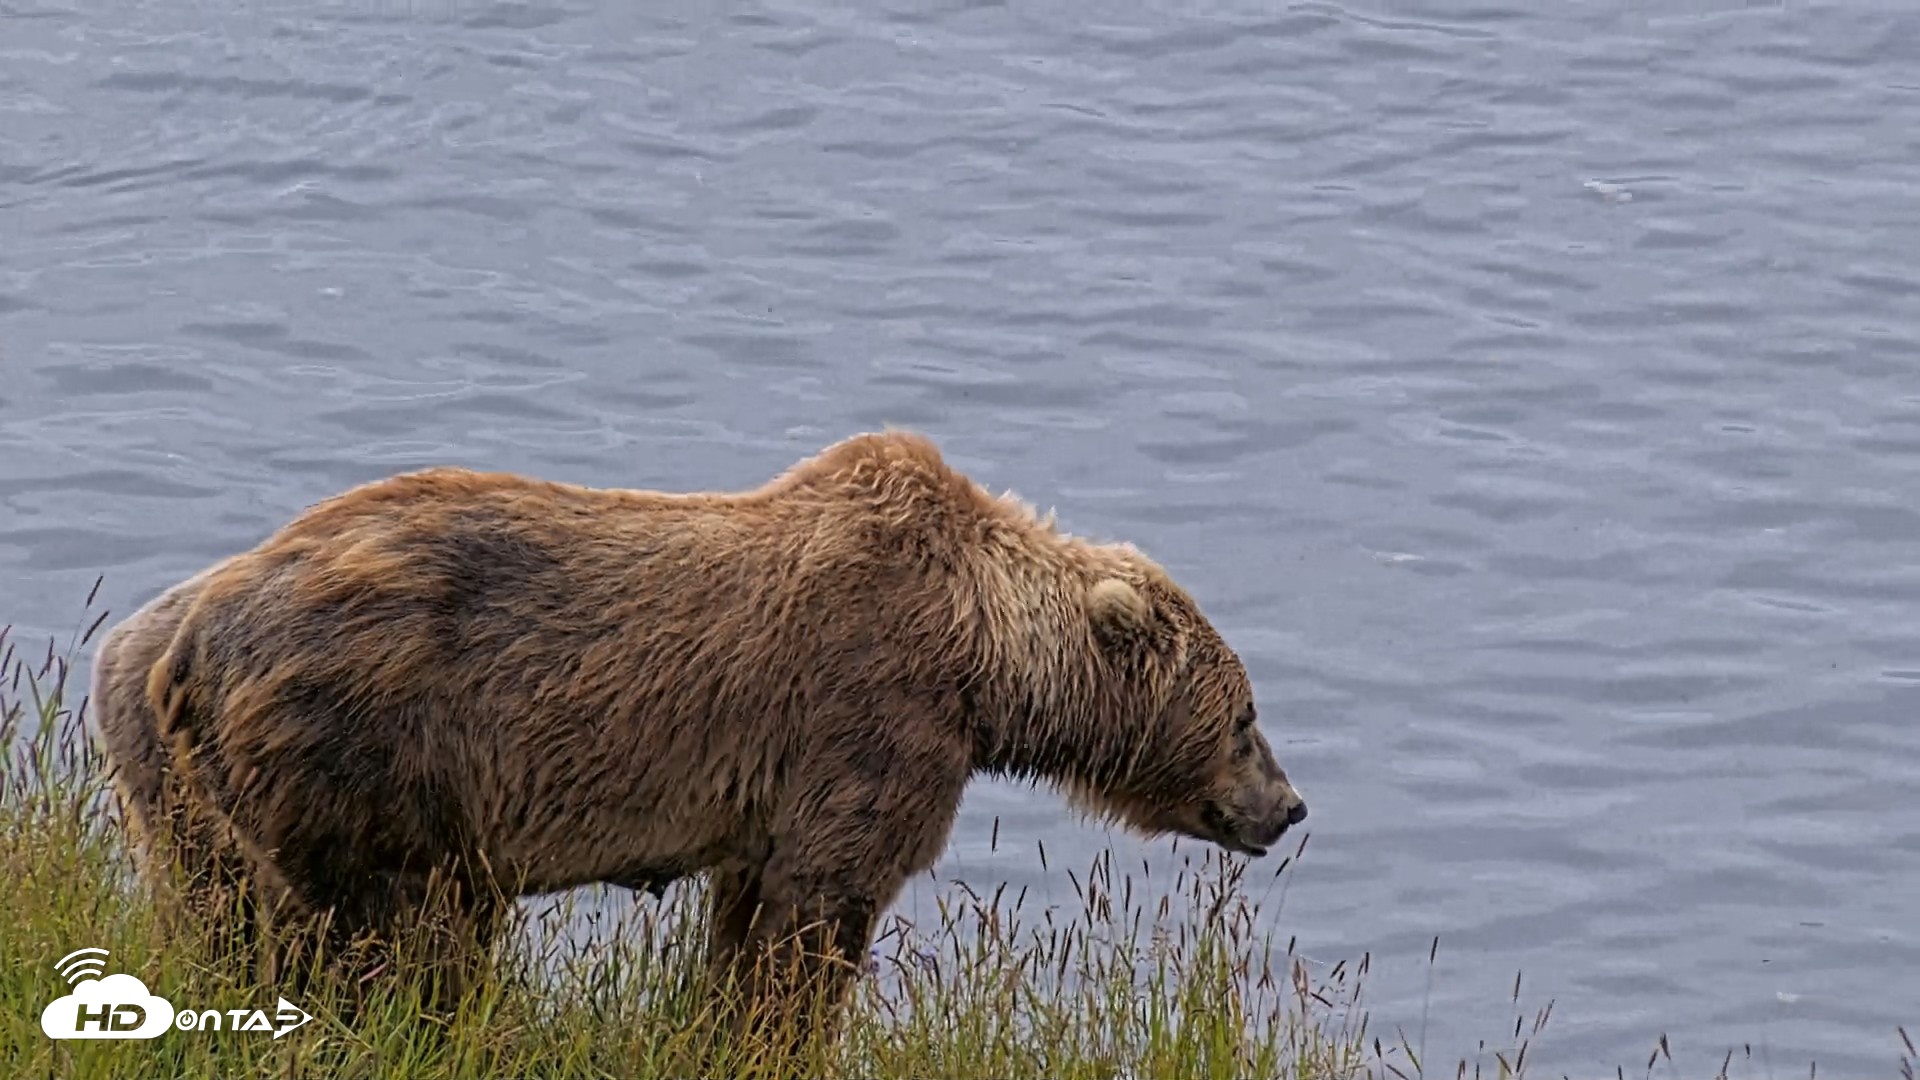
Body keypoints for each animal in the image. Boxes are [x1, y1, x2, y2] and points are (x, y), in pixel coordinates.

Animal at [146, 428, 1308, 1048]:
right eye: (1245, 718)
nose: (1289, 808)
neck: (986, 660)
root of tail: (192, 639)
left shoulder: (773, 790)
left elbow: (750, 912)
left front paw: (723, 1020)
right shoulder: (871, 712)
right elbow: (826, 902)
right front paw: (788, 1030)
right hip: (369, 736)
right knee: (382, 922)